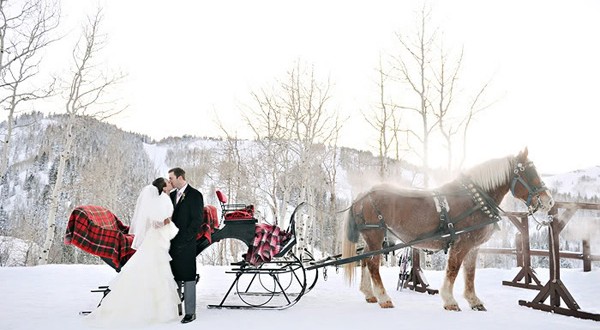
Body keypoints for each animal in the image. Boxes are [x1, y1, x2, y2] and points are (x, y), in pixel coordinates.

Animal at [342, 148, 552, 310]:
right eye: (529, 172)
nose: (549, 201)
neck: (474, 200)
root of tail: (361, 195)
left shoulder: (473, 247)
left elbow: (470, 273)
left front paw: (474, 301)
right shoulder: (461, 243)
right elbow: (453, 269)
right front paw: (450, 301)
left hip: (371, 238)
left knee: (365, 261)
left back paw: (369, 294)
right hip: (375, 235)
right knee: (372, 264)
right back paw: (384, 298)